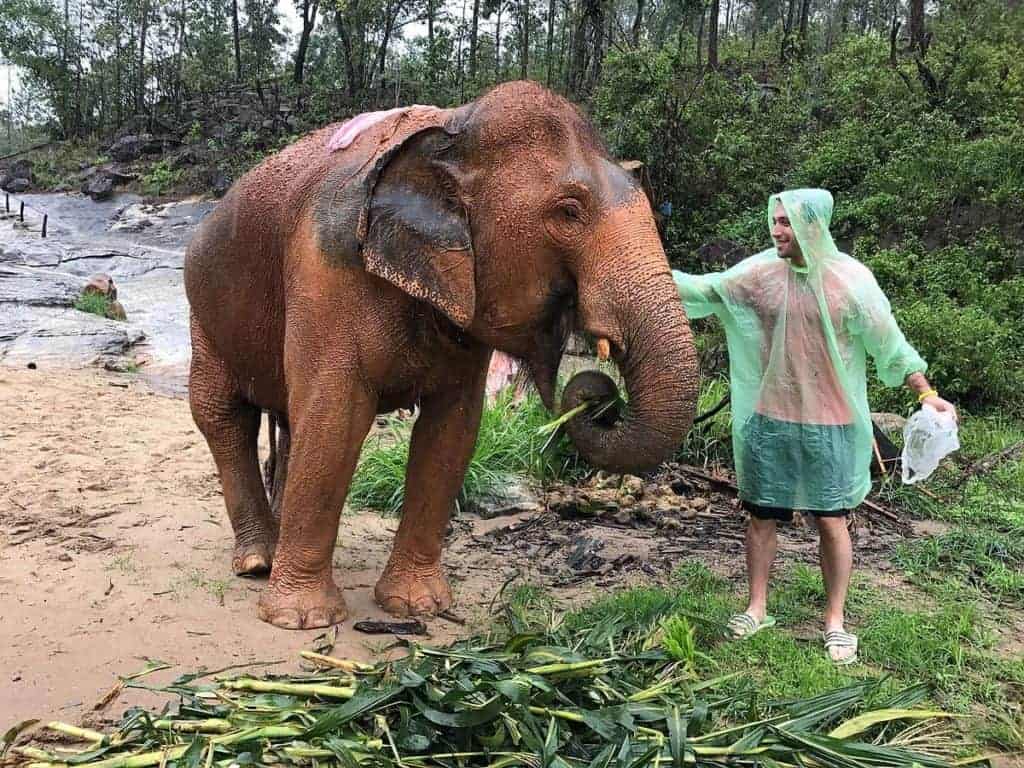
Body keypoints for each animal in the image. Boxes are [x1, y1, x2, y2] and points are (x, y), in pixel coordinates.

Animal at [184, 81, 700, 626]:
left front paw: (418, 607)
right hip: (204, 318)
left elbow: (451, 430)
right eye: (568, 211)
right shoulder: (323, 268)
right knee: (223, 416)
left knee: (282, 420)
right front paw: (301, 619)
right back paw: (257, 562)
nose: (597, 397)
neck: (454, 129)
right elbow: (335, 420)